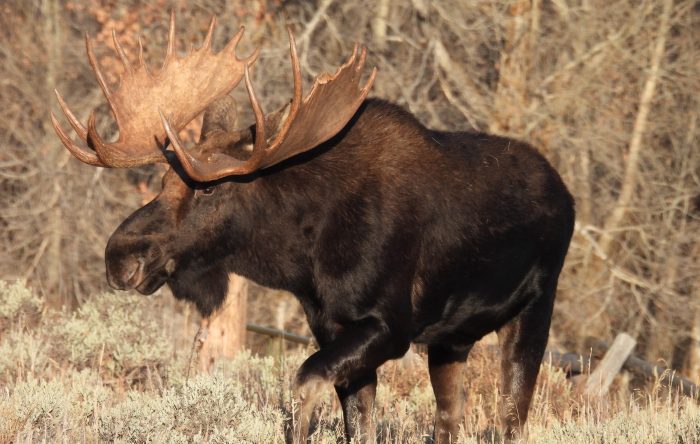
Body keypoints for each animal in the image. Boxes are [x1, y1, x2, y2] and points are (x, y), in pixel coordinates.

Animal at [51, 13, 575, 444]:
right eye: (162, 181)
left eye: (208, 188)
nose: (119, 255)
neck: (304, 261)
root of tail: (566, 194)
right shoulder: (329, 325)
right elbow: (357, 423)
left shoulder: (390, 325)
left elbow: (303, 385)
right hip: (451, 338)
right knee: (450, 419)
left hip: (534, 308)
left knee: (511, 418)